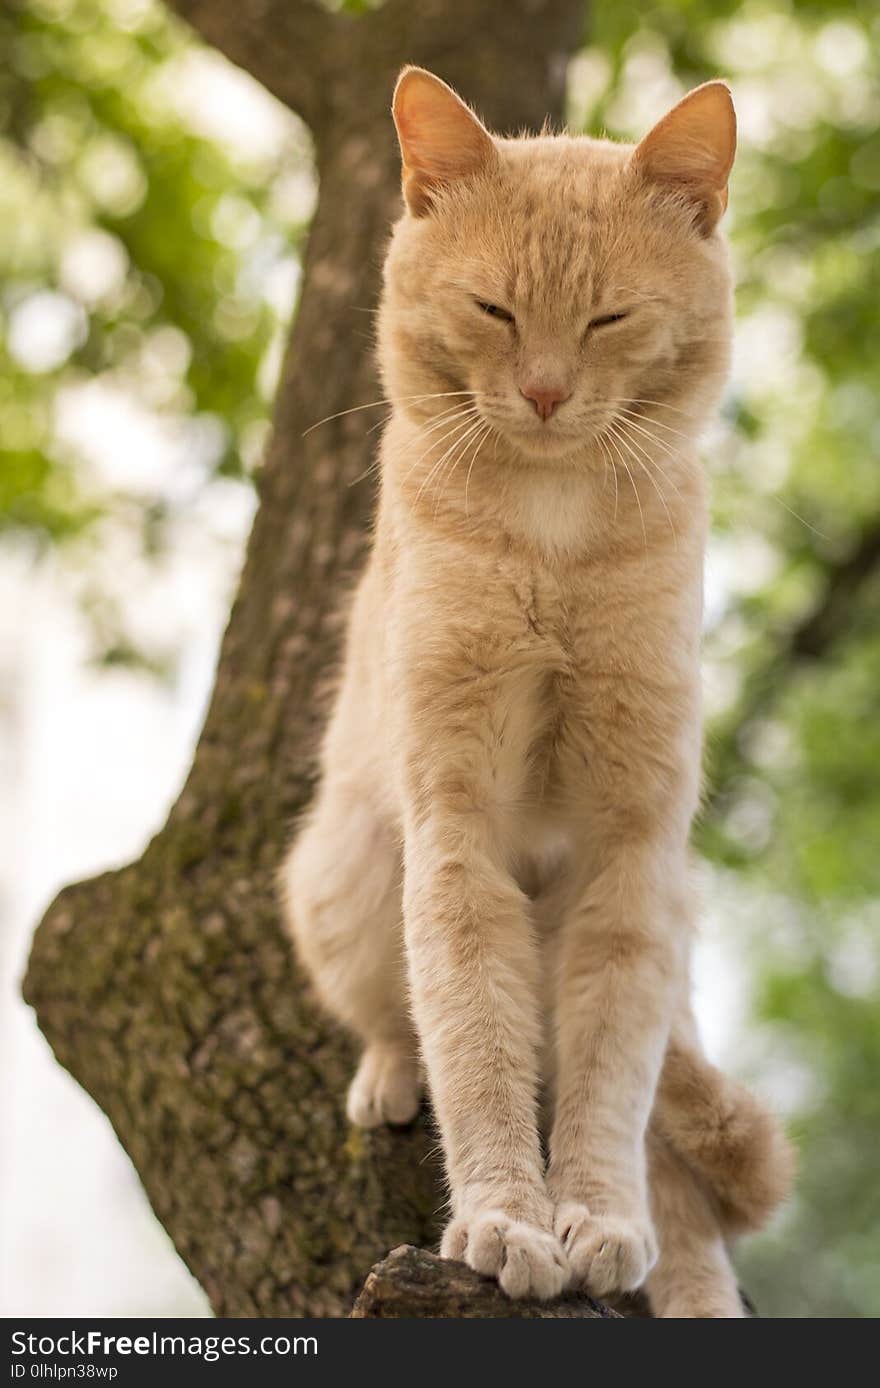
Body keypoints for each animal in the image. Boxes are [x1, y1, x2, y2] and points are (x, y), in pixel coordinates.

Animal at [278, 65, 788, 1315]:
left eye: (608, 317)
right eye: (494, 309)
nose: (548, 392)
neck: (555, 540)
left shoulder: (631, 853)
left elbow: (608, 1083)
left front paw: (592, 1218)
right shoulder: (453, 825)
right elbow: (473, 1033)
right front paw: (507, 1218)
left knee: (681, 1182)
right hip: (345, 872)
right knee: (399, 1016)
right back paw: (385, 1075)